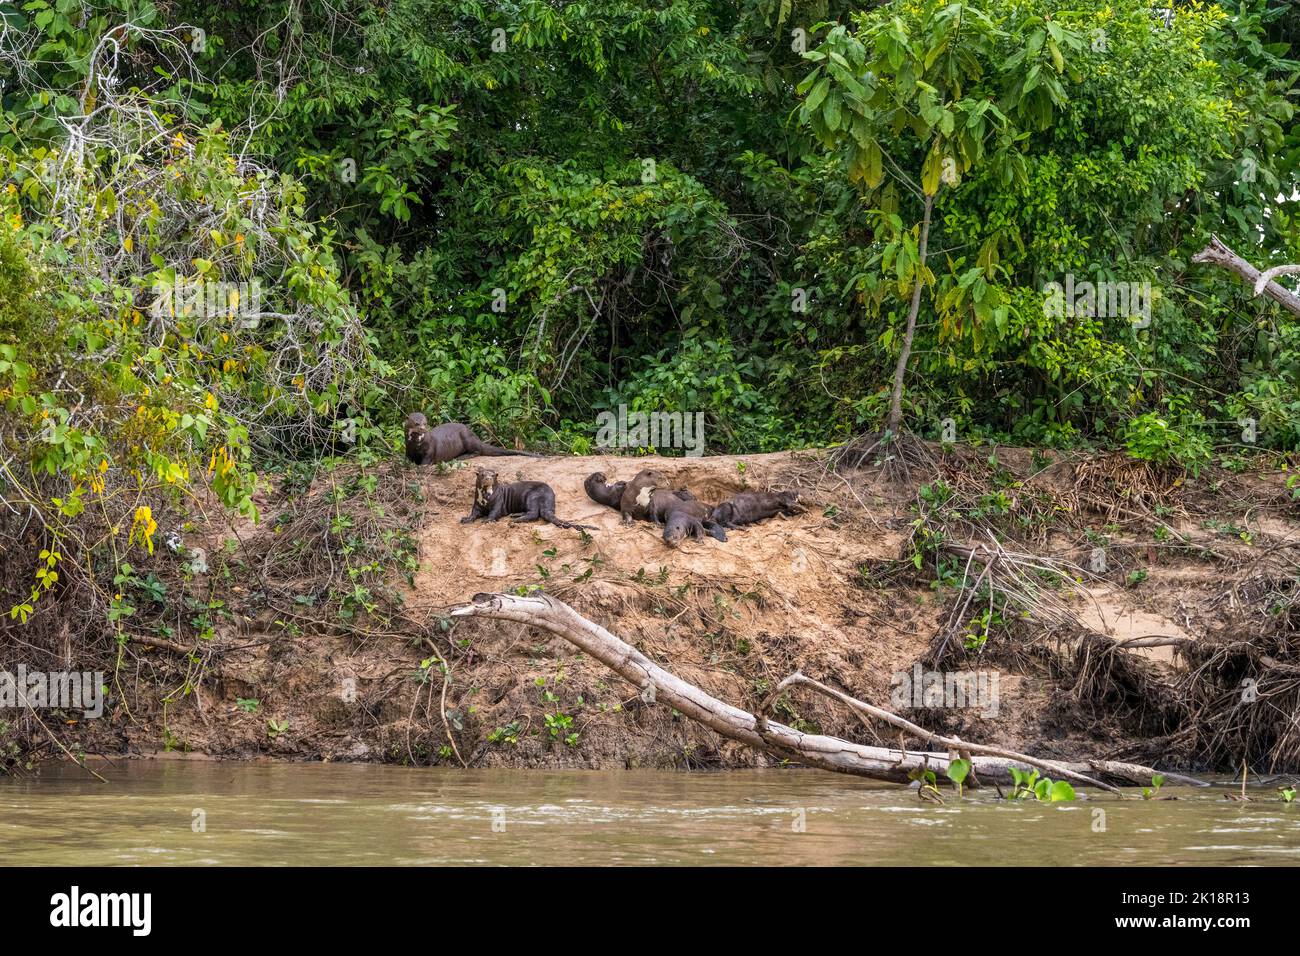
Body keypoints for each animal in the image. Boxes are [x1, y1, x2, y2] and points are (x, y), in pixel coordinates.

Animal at [404, 412, 538, 465]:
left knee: (477, 451)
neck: (416, 446)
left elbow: (425, 462)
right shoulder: (408, 451)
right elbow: (408, 459)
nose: (423, 429)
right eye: (417, 423)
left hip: (467, 438)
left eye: (425, 423)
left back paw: (463, 456)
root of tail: (476, 438)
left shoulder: (429, 452)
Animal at [462, 468, 594, 530]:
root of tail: (550, 496)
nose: (488, 478)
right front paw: (466, 519)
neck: (486, 498)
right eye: (482, 474)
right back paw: (515, 515)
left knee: (534, 514)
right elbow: (473, 513)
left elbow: (494, 513)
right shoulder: (476, 504)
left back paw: (514, 520)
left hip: (533, 496)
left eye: (493, 475)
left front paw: (487, 520)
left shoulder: (498, 501)